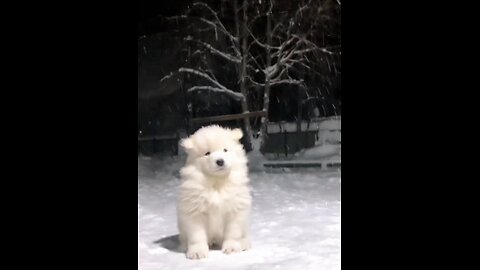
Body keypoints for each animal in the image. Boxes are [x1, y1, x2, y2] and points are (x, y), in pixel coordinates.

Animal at [176, 125, 251, 258]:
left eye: (225, 150)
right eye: (207, 153)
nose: (220, 161)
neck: (217, 182)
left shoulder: (235, 209)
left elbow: (233, 232)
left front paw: (231, 248)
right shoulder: (195, 211)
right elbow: (197, 235)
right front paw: (197, 252)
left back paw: (244, 243)